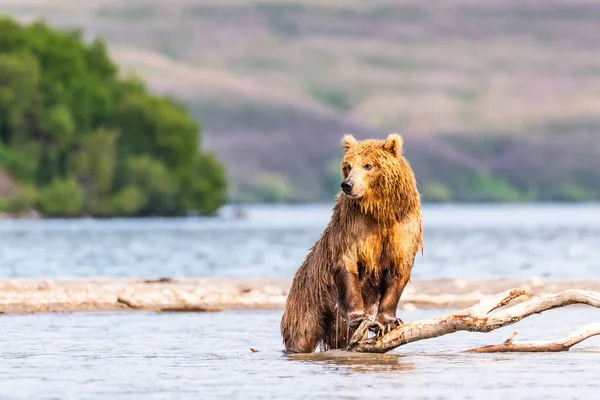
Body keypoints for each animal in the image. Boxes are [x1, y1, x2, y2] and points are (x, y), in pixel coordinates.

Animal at [280, 134, 422, 354]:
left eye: (368, 165)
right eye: (348, 165)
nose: (347, 184)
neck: (380, 212)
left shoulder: (403, 230)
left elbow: (398, 271)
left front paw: (389, 322)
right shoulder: (353, 227)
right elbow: (348, 264)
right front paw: (359, 317)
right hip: (309, 304)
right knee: (302, 335)